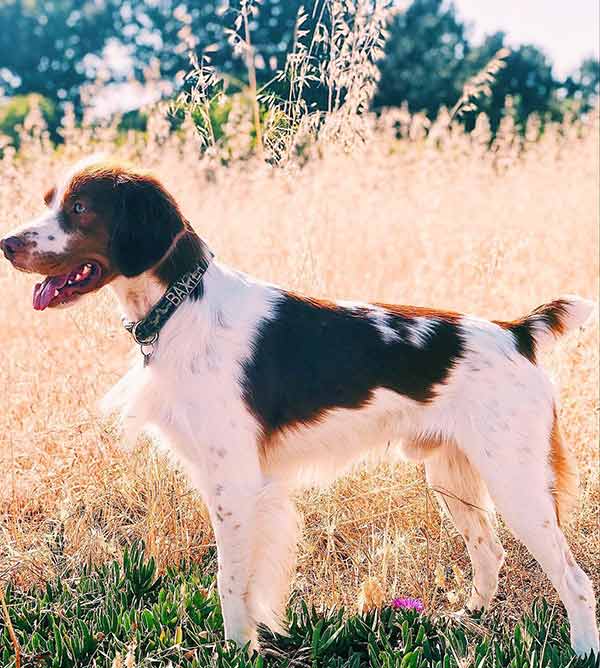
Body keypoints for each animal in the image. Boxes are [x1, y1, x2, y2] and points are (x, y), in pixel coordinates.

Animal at [2, 159, 596, 656]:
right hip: (453, 476)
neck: (181, 307)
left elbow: (230, 581)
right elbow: (246, 583)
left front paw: (238, 650)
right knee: (489, 552)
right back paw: (467, 618)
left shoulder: (236, 483)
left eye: (80, 208)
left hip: (517, 483)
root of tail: (515, 331)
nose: (7, 243)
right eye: (50, 199)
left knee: (575, 579)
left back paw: (582, 650)